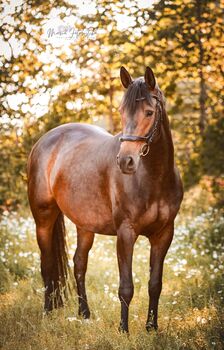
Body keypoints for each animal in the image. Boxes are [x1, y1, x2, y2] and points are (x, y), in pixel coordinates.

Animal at [27, 67, 182, 332]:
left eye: (149, 112)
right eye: (121, 111)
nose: (125, 161)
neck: (154, 178)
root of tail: (44, 141)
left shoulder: (164, 234)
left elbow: (155, 284)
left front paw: (151, 327)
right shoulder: (126, 233)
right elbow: (126, 287)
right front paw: (123, 329)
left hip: (84, 225)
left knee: (79, 264)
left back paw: (84, 314)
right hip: (44, 219)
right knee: (47, 265)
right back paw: (48, 312)